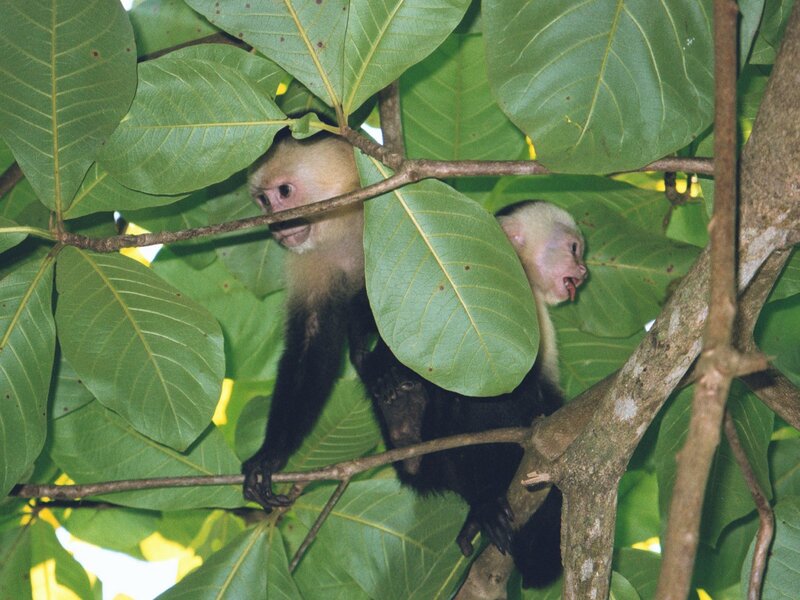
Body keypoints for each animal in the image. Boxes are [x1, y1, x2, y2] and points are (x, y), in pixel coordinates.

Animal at [241, 131, 373, 510]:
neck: (344, 227)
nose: (276, 223)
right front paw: (271, 455)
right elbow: (312, 343)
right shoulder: (311, 259)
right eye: (264, 200)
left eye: (285, 192)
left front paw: (360, 333)